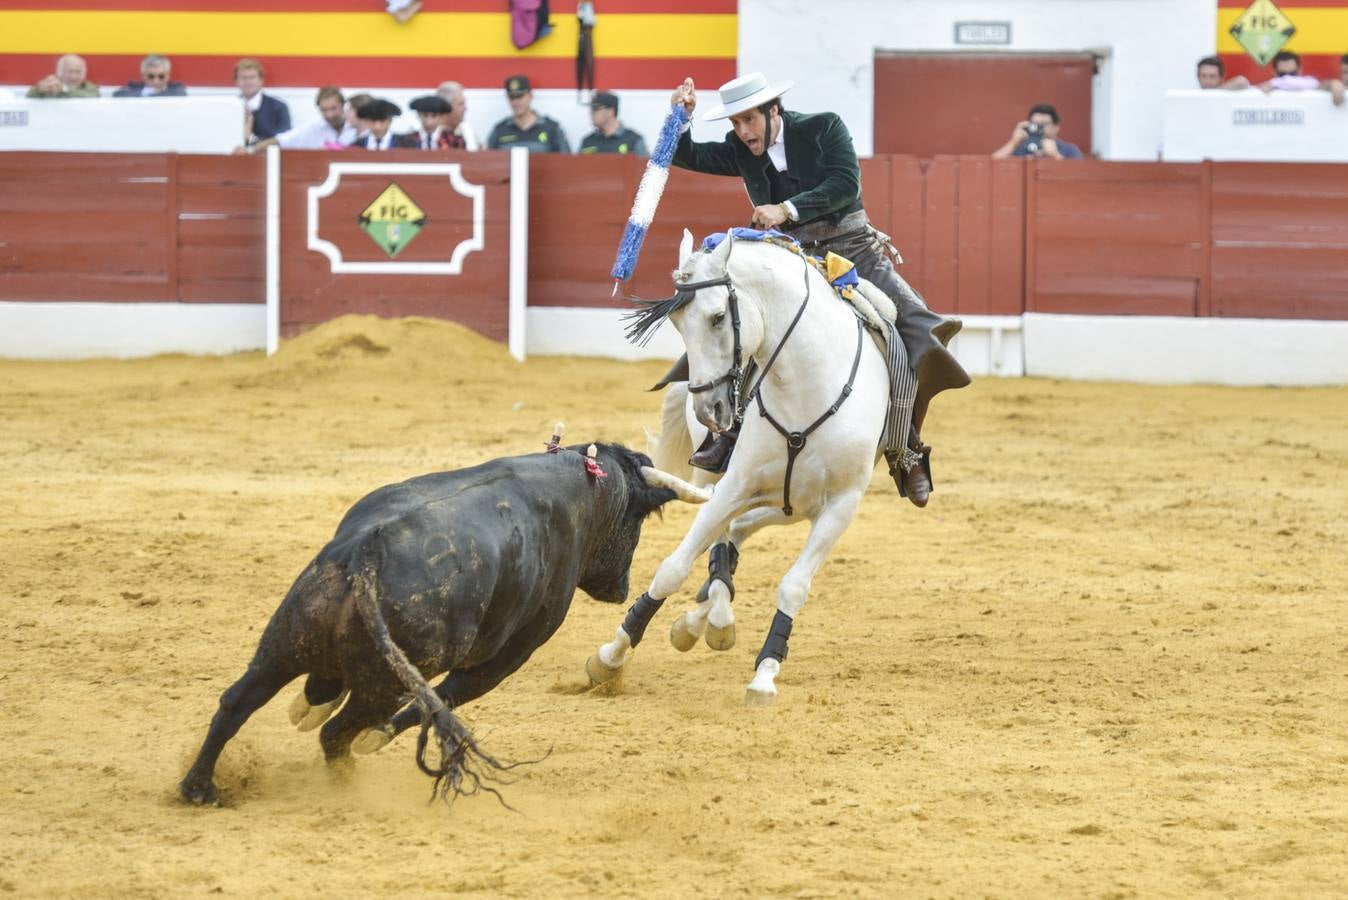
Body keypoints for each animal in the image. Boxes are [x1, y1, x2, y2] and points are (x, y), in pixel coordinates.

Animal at [177, 441, 679, 802]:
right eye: (637, 520)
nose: (622, 586)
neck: (582, 493)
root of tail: (367, 553)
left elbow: (321, 689)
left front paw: (307, 705)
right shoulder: (504, 659)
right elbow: (442, 700)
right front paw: (372, 739)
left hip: (284, 641)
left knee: (237, 701)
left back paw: (198, 788)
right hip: (382, 684)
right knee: (338, 732)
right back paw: (348, 781)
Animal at [587, 230, 895, 700]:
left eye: (718, 317)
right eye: (678, 323)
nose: (710, 411)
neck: (805, 384)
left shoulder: (842, 505)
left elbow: (793, 586)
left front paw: (766, 671)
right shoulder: (735, 484)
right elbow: (673, 567)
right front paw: (610, 655)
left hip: (796, 504)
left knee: (740, 530)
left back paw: (707, 618)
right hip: (725, 480)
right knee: (725, 534)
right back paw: (709, 619)